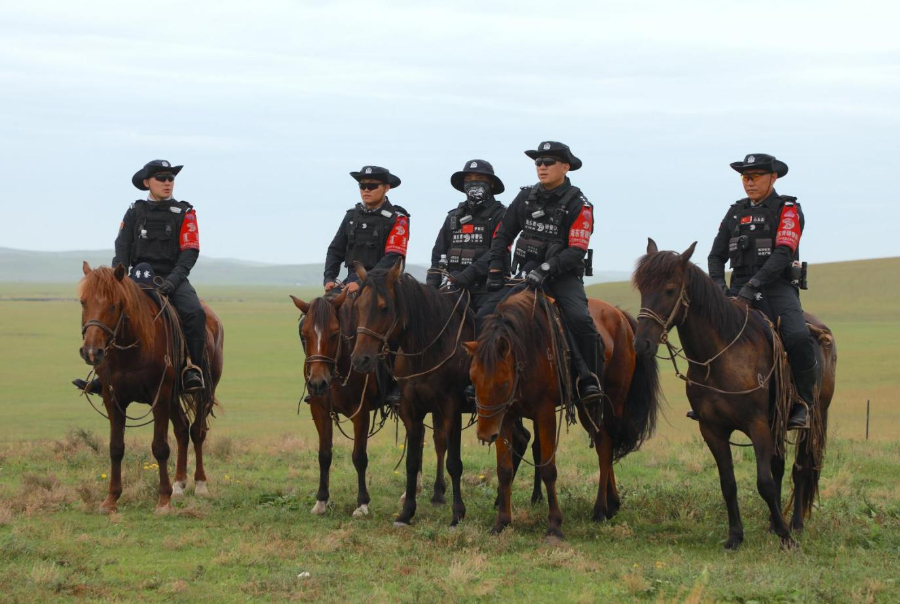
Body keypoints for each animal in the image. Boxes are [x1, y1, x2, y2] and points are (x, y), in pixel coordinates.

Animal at [78, 262, 224, 513]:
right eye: (83, 302)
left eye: (114, 305)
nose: (91, 352)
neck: (131, 348)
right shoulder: (112, 397)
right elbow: (116, 447)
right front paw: (111, 499)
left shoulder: (160, 395)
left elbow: (160, 447)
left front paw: (163, 500)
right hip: (174, 398)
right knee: (182, 430)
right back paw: (179, 484)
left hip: (204, 391)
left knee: (197, 431)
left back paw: (199, 483)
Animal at [290, 289, 383, 517]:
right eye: (304, 335)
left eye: (334, 333)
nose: (317, 383)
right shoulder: (320, 410)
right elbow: (324, 455)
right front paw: (321, 501)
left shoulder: (361, 413)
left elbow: (359, 457)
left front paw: (362, 504)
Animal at [350, 260, 478, 527]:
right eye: (357, 306)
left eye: (384, 307)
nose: (360, 359)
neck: (427, 348)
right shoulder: (411, 409)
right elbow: (412, 460)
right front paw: (407, 512)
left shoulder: (452, 409)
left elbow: (454, 462)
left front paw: (457, 514)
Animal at [465, 286, 662, 538]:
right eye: (473, 379)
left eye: (503, 383)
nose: (484, 434)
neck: (529, 347)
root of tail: (619, 315)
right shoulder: (505, 416)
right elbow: (504, 470)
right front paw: (502, 522)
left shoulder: (544, 412)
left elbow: (549, 469)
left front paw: (555, 525)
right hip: (586, 408)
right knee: (604, 443)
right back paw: (611, 504)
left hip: (611, 404)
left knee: (606, 449)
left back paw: (600, 510)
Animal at [632, 239, 836, 550]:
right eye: (642, 288)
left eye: (669, 289)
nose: (641, 342)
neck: (720, 356)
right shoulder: (712, 429)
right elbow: (728, 483)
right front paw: (736, 536)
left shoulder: (758, 425)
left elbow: (764, 482)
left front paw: (787, 537)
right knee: (780, 466)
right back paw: (774, 523)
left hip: (814, 417)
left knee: (801, 469)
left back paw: (796, 524)